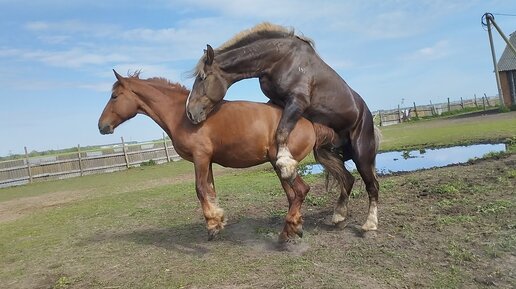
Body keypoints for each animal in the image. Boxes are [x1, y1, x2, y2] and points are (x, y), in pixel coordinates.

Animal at [98, 71, 346, 242]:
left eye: (114, 96)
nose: (102, 126)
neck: (183, 116)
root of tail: (309, 123)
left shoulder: (200, 158)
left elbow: (200, 190)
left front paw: (212, 226)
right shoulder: (207, 161)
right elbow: (210, 190)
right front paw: (218, 221)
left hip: (281, 165)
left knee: (301, 191)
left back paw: (288, 231)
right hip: (280, 168)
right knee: (293, 195)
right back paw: (293, 228)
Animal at [184, 22, 378, 230]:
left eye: (202, 77)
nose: (190, 113)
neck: (281, 59)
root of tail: (366, 113)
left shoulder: (297, 101)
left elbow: (282, 129)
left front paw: (285, 162)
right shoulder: (277, 102)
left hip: (361, 155)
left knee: (372, 186)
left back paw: (370, 224)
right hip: (327, 152)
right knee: (348, 179)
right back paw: (339, 215)